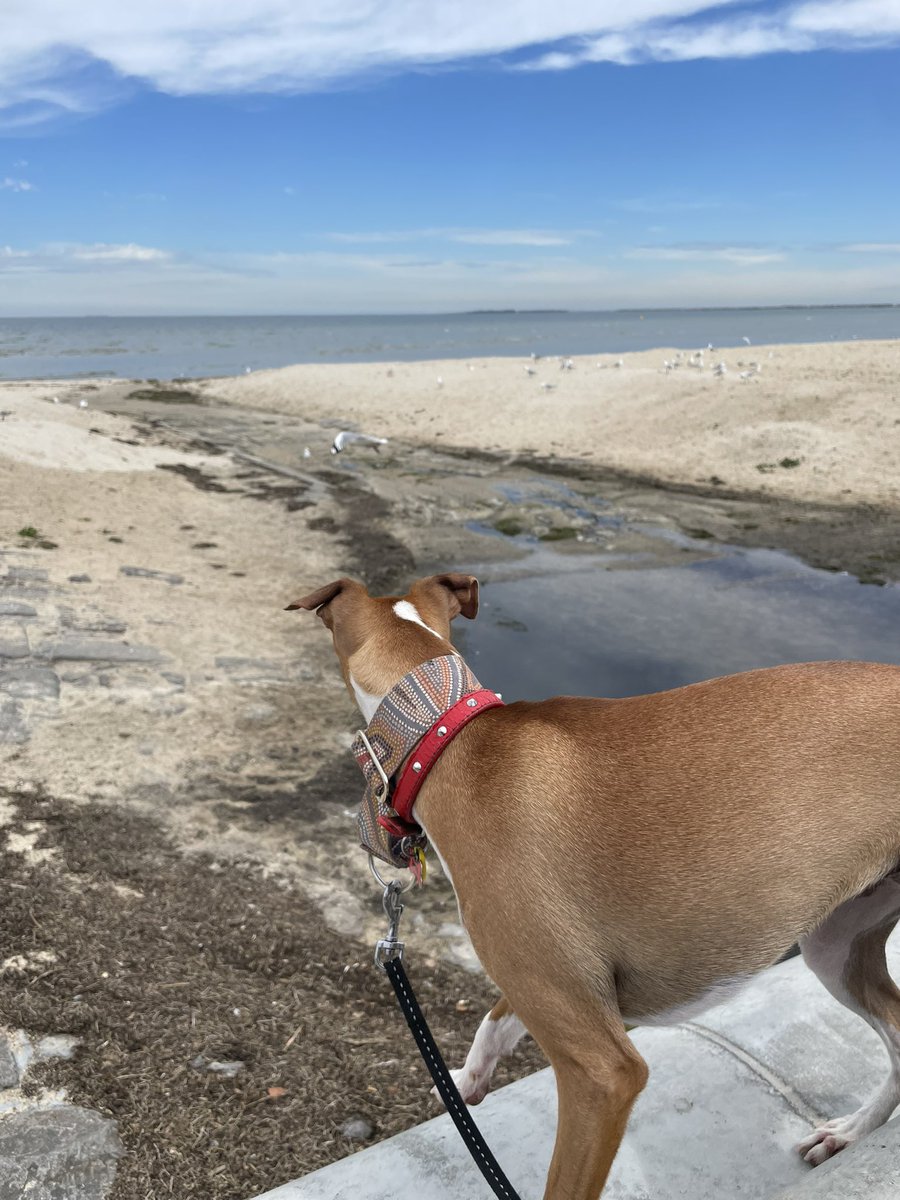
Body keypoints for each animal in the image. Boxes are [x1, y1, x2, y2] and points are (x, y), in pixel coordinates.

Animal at [289, 573, 900, 1200]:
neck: (456, 737)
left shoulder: (603, 1072)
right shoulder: (551, 982)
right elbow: (494, 1021)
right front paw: (465, 1080)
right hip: (834, 946)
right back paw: (851, 1132)